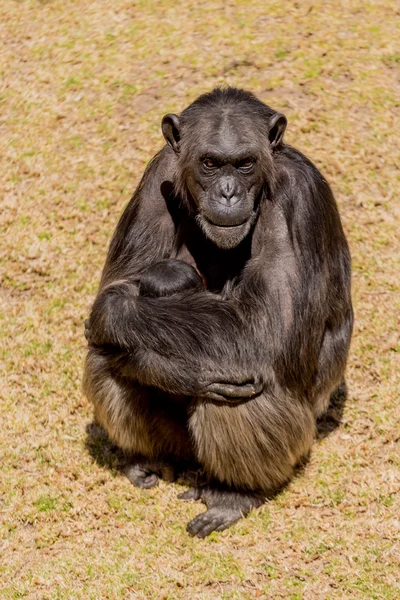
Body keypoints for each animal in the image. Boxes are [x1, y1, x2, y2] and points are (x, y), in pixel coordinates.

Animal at [83, 88, 352, 540]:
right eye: (210, 163)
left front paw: (112, 312)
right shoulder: (155, 178)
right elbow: (121, 280)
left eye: (244, 163)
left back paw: (233, 495)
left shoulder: (298, 198)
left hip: (300, 440)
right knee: (106, 359)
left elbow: (260, 330)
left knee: (240, 387)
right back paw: (149, 460)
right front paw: (172, 370)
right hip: (179, 446)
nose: (228, 192)